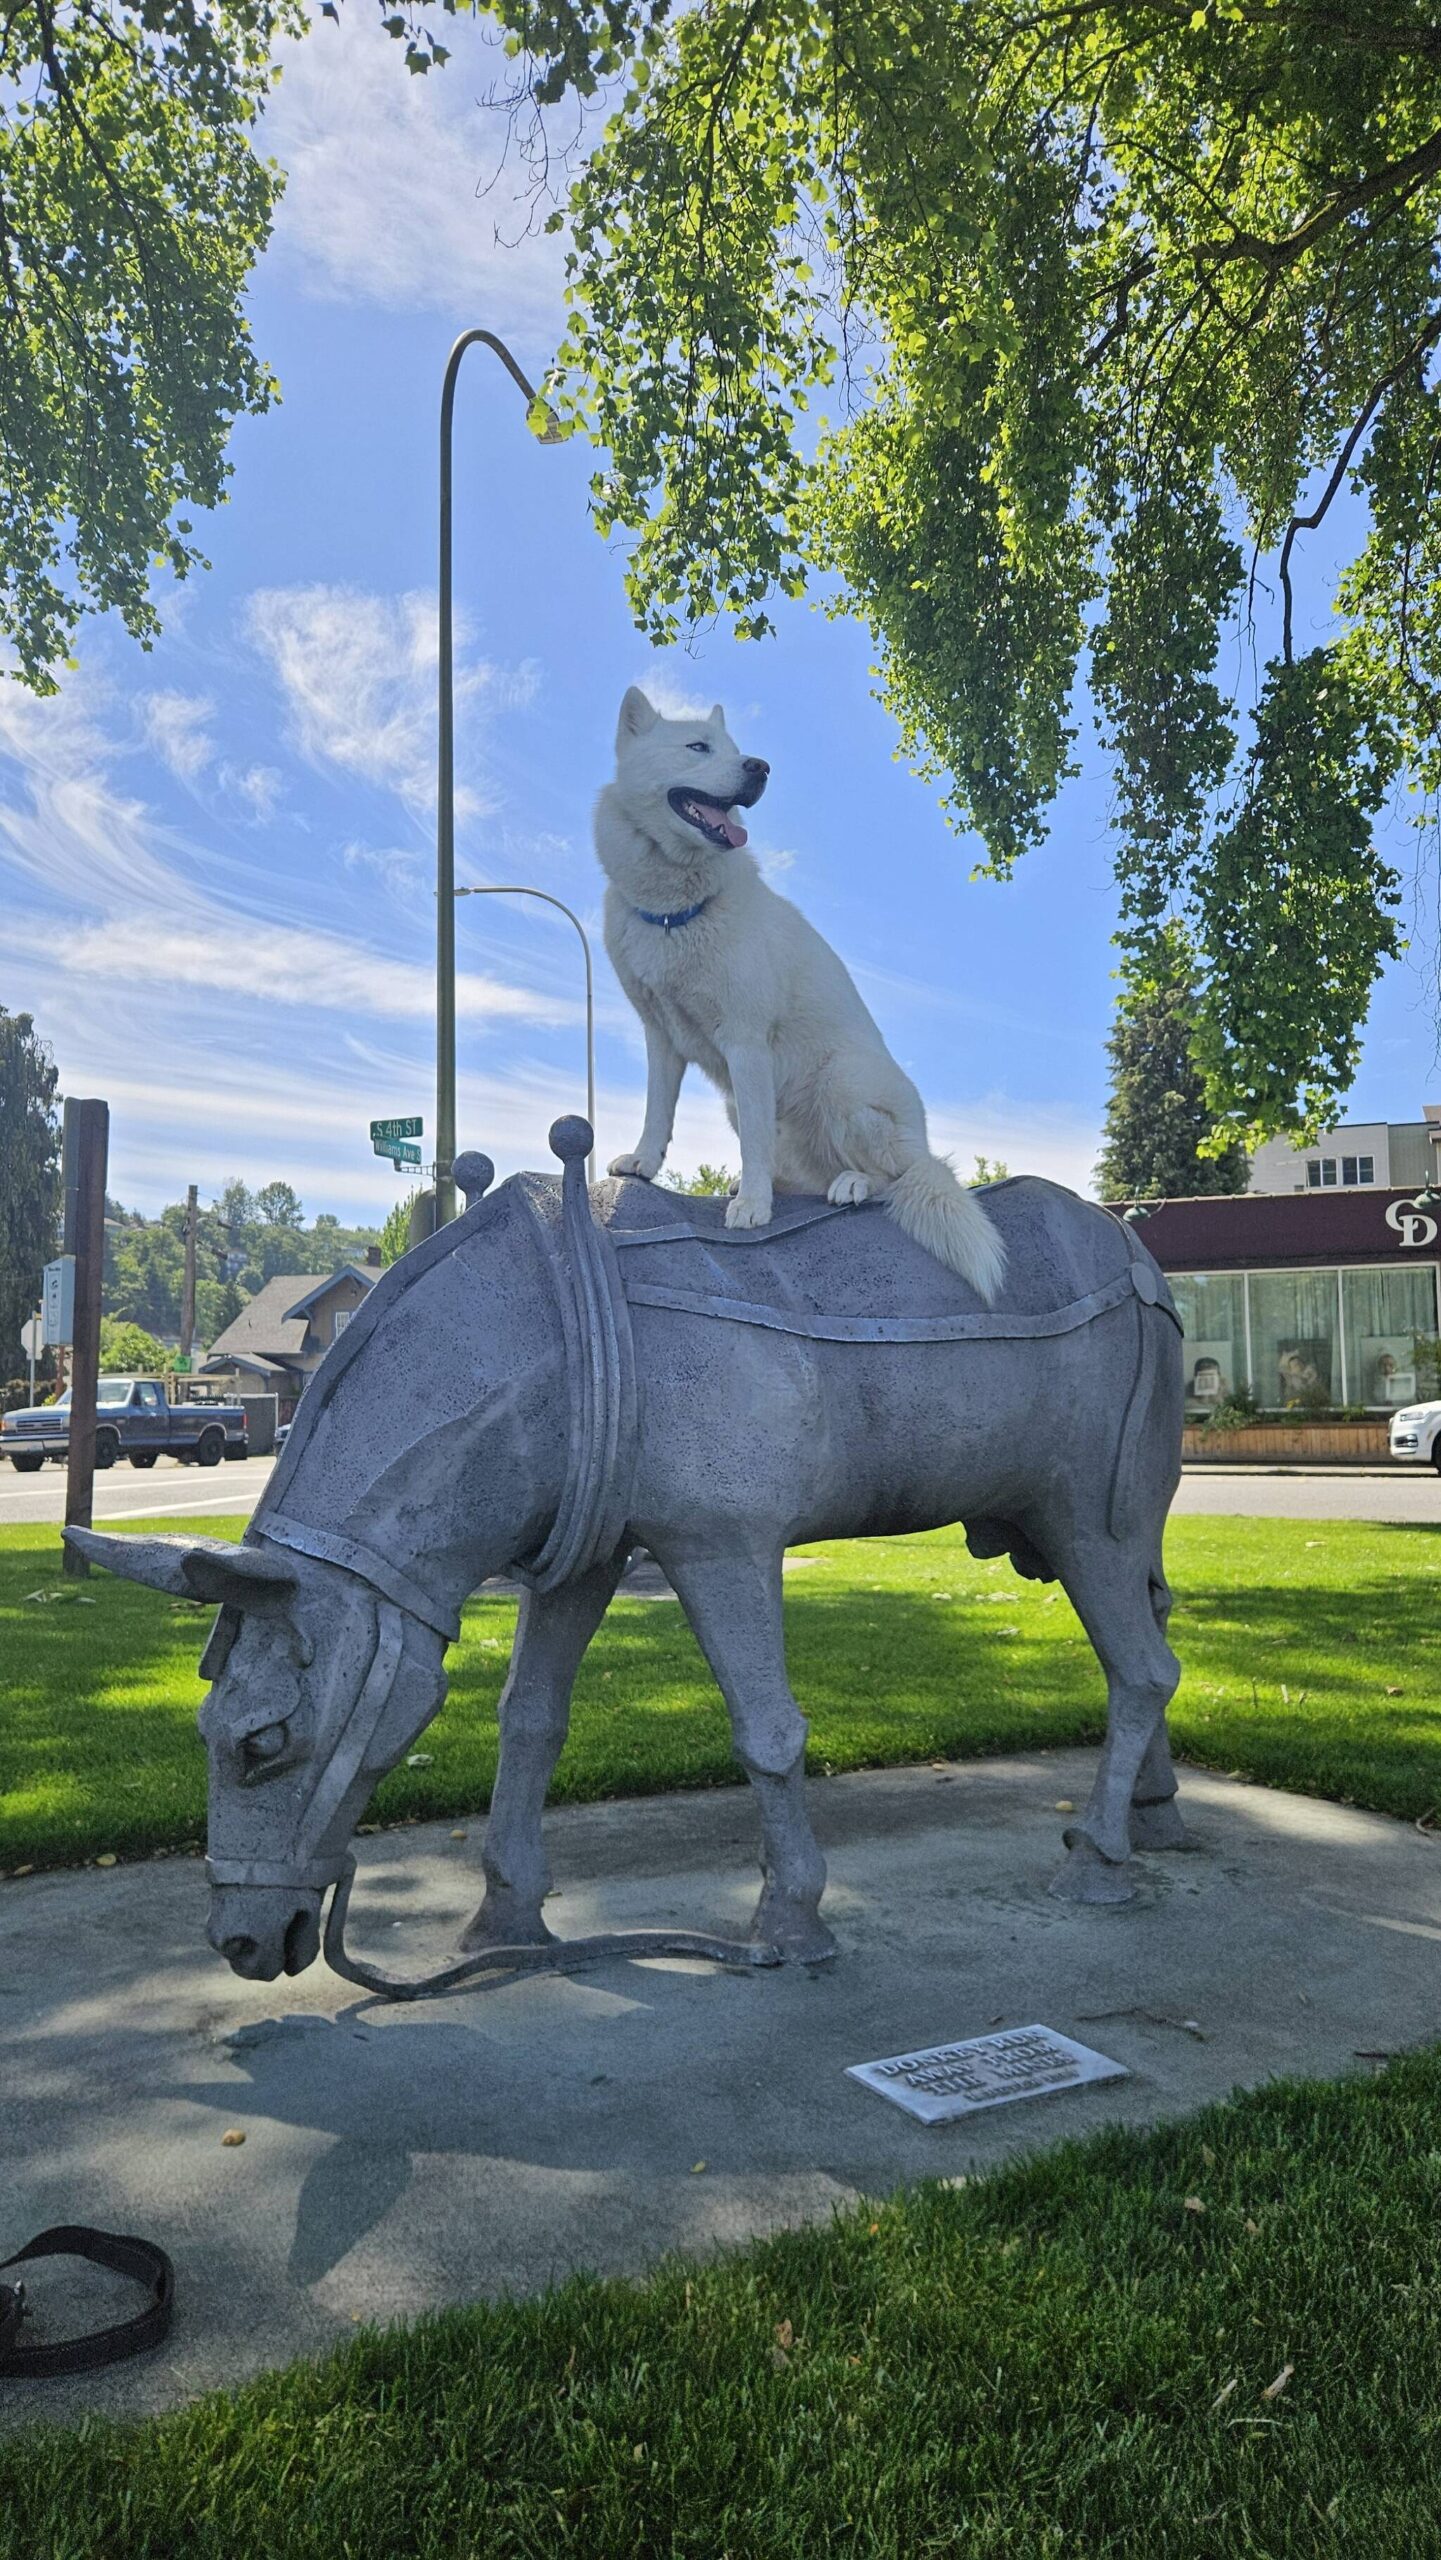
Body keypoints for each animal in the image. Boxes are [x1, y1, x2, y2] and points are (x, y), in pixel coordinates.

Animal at [593, 686, 1003, 1300]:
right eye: (698, 747)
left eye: (735, 749)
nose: (759, 767)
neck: (674, 913)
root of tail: (923, 1146)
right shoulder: (661, 1037)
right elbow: (656, 1112)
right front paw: (644, 1163)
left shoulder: (746, 1043)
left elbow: (753, 1146)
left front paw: (752, 1206)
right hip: (744, 1104)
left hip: (841, 1083)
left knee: (895, 1177)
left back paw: (851, 1183)